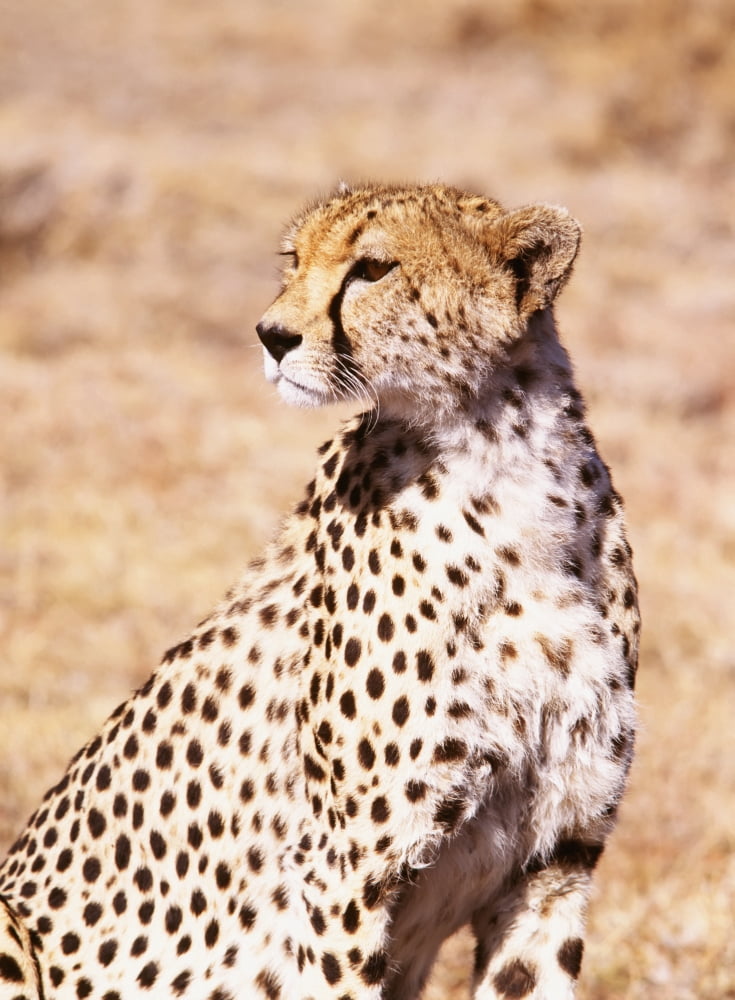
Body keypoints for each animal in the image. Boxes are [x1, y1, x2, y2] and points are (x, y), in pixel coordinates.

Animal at [0, 181, 639, 1000]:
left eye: (372, 268)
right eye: (292, 258)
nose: (271, 336)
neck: (502, 458)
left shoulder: (554, 860)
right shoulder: (343, 872)